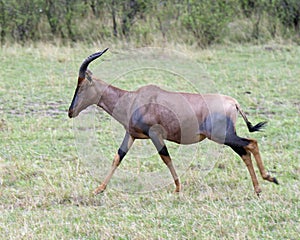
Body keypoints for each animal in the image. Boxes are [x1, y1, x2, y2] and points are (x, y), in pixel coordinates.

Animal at [68, 48, 278, 195]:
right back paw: (259, 188)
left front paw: (177, 188)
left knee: (251, 144)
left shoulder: (155, 134)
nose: (70, 112)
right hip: (225, 136)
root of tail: (233, 103)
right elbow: (118, 157)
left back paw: (269, 178)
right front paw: (98, 189)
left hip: (223, 136)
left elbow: (165, 157)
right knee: (245, 151)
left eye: (82, 84)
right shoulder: (132, 135)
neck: (134, 99)